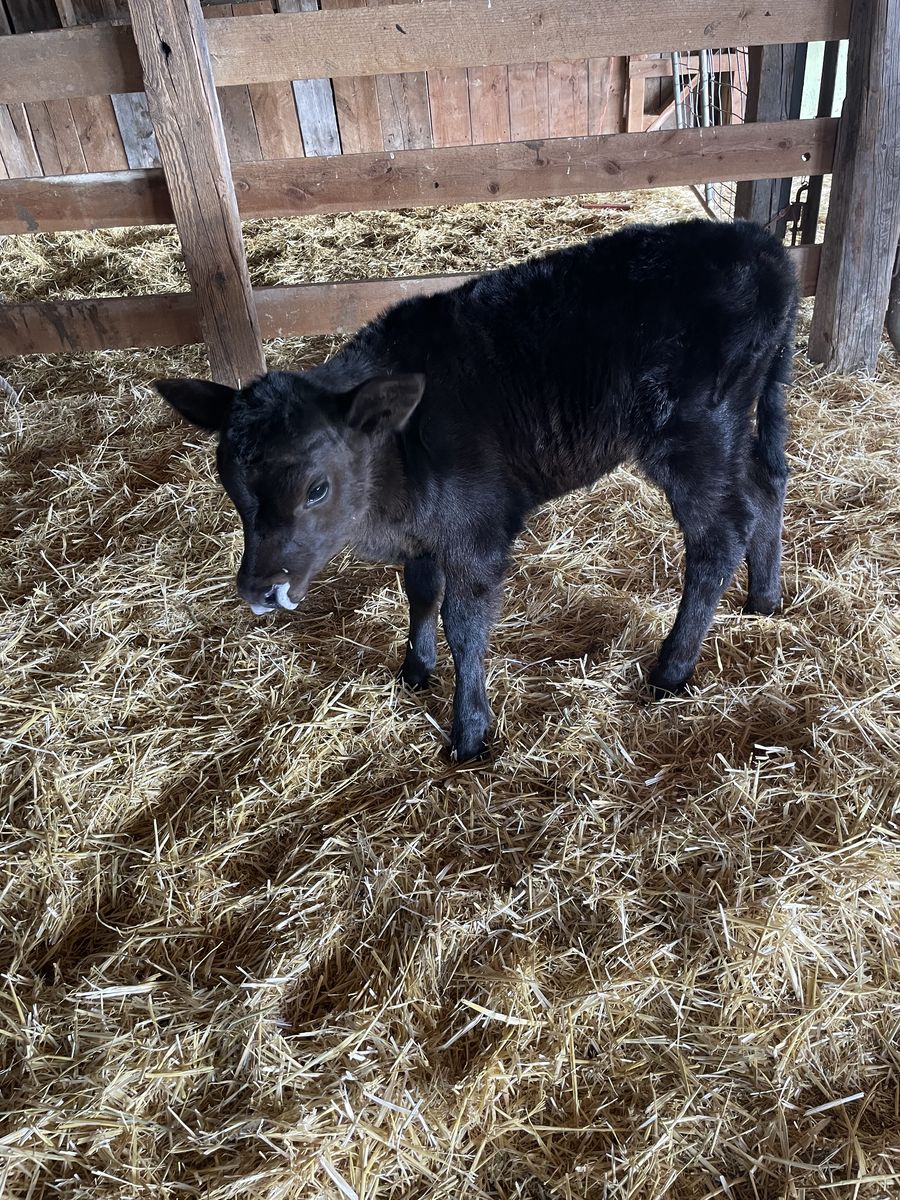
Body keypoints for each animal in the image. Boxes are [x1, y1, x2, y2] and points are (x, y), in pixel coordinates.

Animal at [156, 218, 797, 761]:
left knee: (719, 535)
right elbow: (420, 592)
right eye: (230, 481)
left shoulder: (477, 532)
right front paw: (415, 668)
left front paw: (468, 731)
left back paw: (672, 670)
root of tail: (760, 244)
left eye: (316, 488)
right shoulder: (423, 533)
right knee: (767, 485)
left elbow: (463, 625)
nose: (259, 588)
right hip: (740, 421)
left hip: (695, 435)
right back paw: (764, 598)